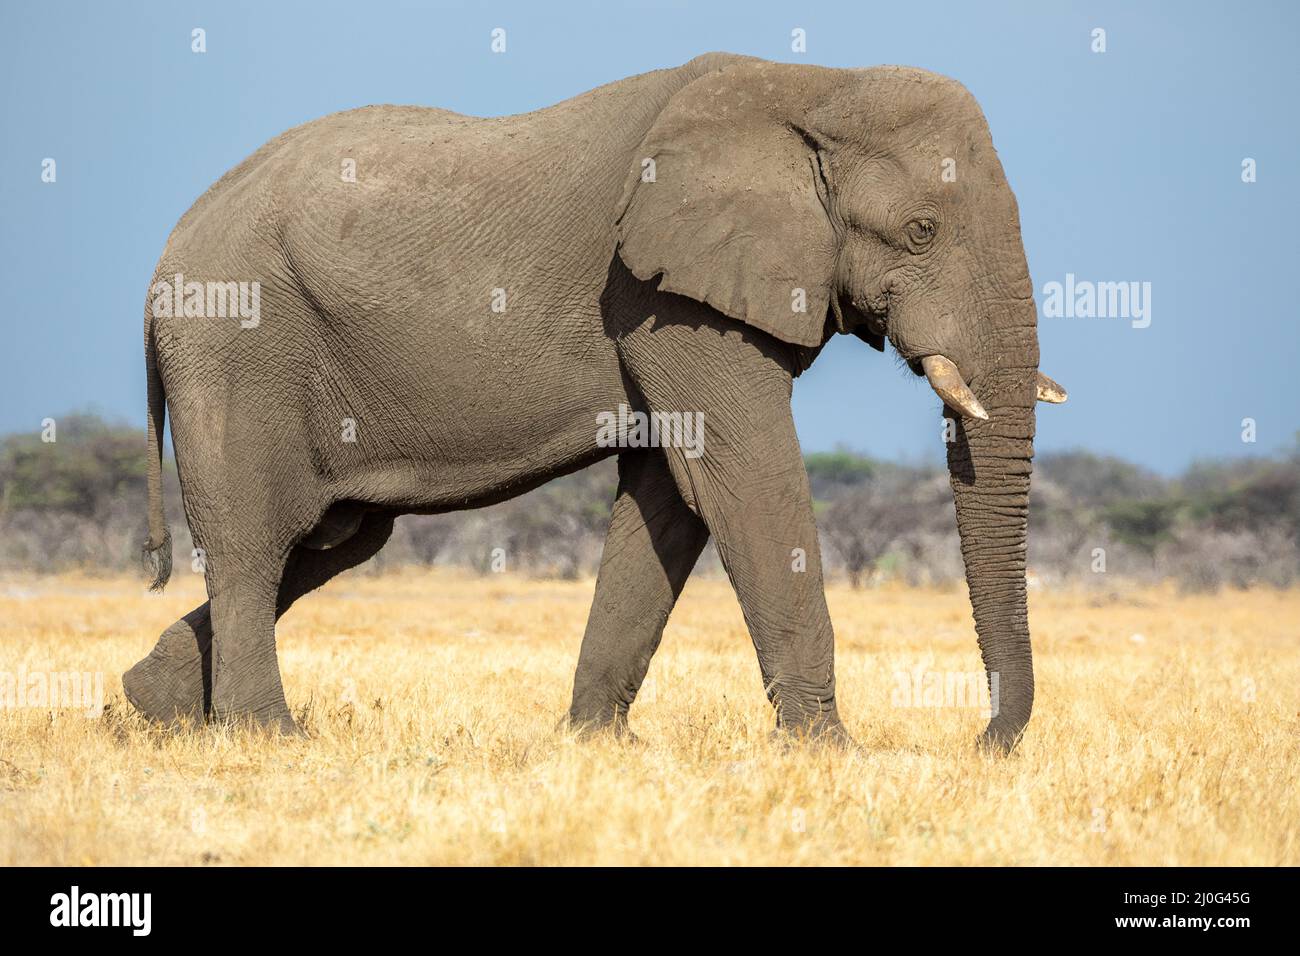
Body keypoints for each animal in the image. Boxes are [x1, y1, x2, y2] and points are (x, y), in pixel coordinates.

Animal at [124, 52, 1066, 749]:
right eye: (921, 231)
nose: (983, 744)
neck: (814, 83)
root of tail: (165, 254)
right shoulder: (664, 291)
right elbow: (743, 478)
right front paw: (830, 753)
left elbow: (669, 498)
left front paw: (596, 745)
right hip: (236, 345)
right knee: (257, 539)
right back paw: (266, 736)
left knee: (333, 537)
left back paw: (146, 703)